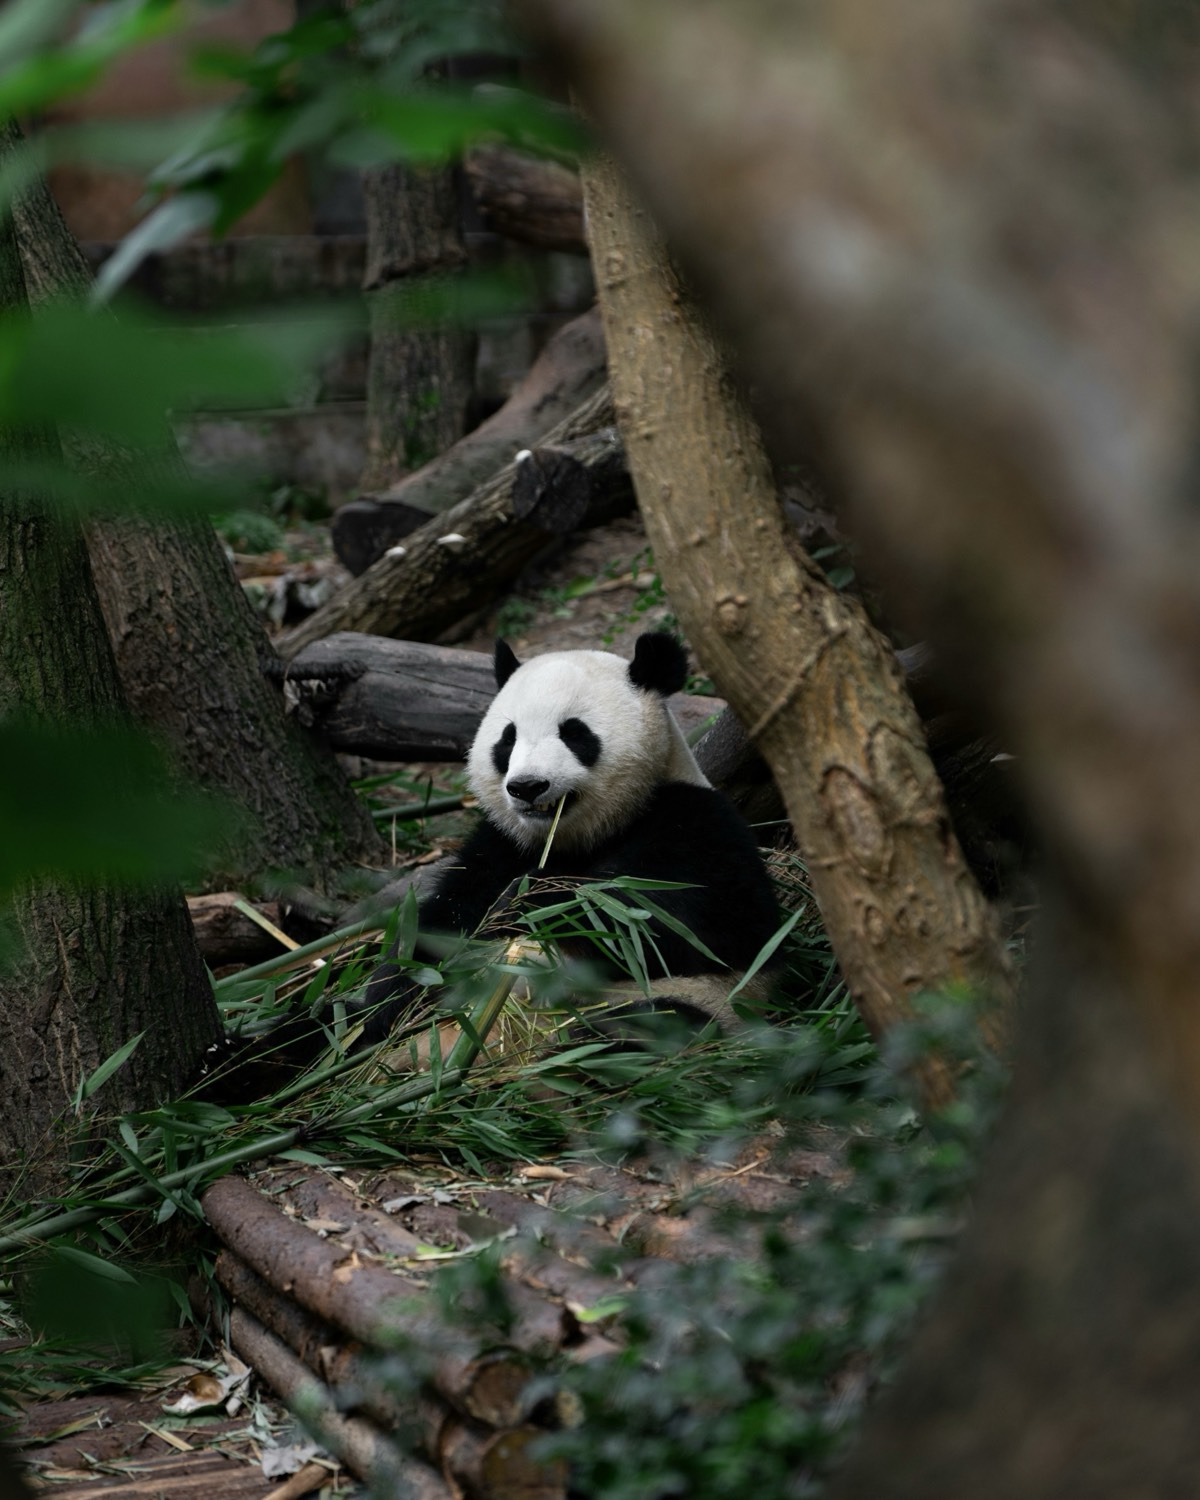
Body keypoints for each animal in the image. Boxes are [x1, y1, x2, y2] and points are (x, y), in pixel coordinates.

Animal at [359, 630, 783, 1046]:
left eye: (575, 733)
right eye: (508, 739)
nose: (528, 786)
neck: (578, 836)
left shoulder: (695, 822)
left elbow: (683, 925)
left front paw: (527, 902)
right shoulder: (502, 845)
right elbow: (436, 929)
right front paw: (377, 1011)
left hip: (695, 1004)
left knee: (652, 1025)